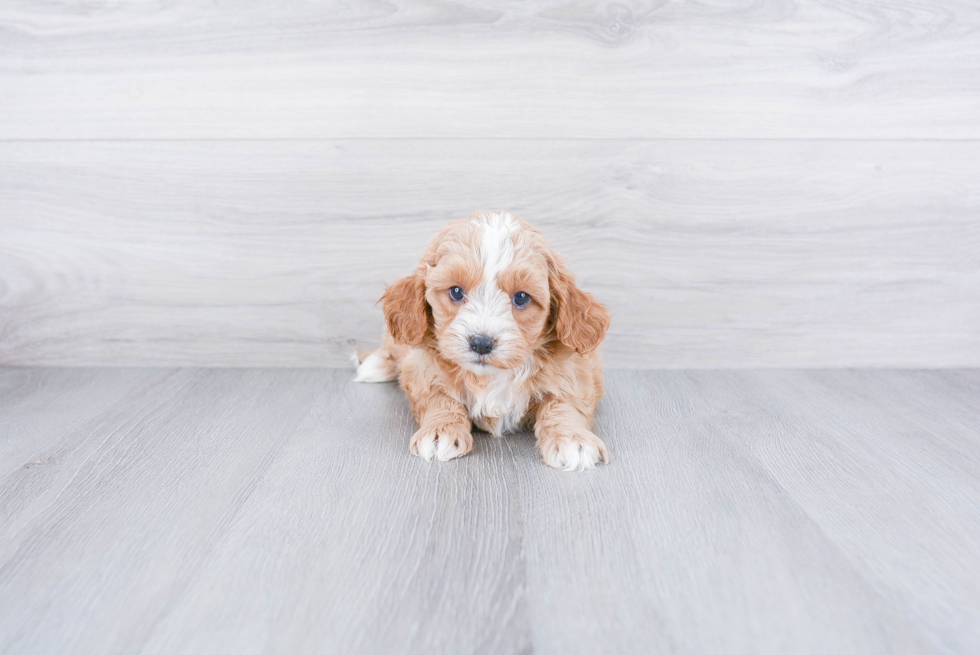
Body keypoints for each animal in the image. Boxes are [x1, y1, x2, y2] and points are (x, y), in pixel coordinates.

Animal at [352, 211, 612, 472]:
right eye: (456, 292)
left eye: (521, 298)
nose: (481, 343)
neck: (490, 376)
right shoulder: (422, 370)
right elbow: (439, 398)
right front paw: (439, 431)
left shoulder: (576, 373)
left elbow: (564, 403)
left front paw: (572, 439)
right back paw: (375, 365)